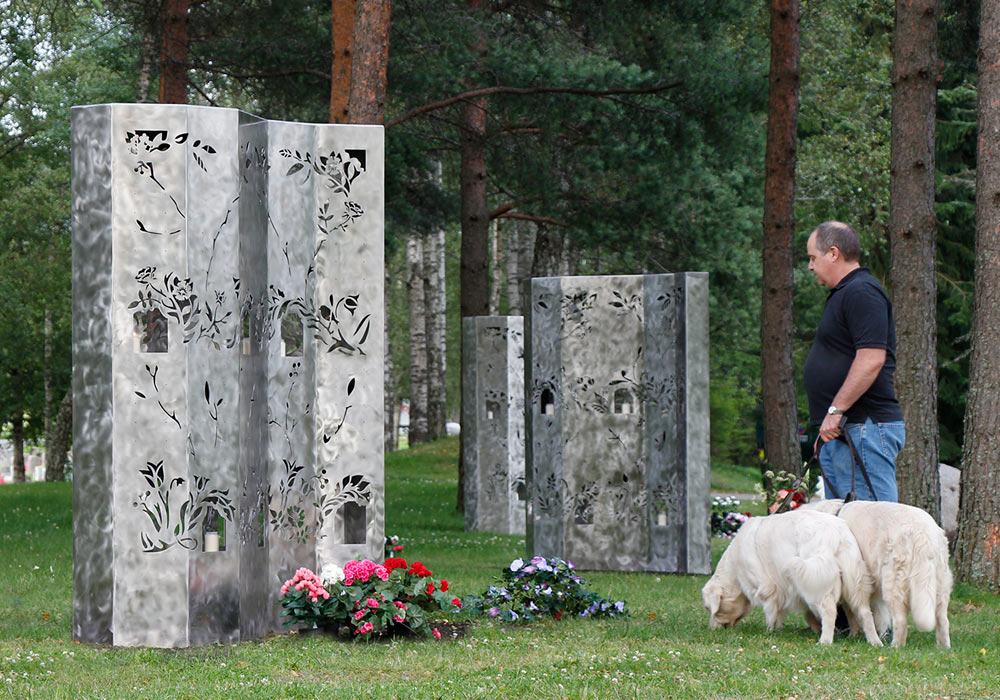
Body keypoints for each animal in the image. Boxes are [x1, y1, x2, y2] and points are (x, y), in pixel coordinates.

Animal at [700, 508, 880, 644]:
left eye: (709, 608)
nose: (711, 629)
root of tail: (836, 534)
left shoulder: (766, 587)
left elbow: (771, 611)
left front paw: (770, 630)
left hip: (816, 583)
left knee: (829, 611)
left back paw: (825, 642)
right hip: (854, 584)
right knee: (863, 612)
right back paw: (869, 640)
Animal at [804, 500, 952, 648]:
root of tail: (922, 535)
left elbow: (852, 612)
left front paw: (855, 634)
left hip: (893, 584)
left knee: (900, 620)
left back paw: (895, 646)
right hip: (940, 583)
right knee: (942, 619)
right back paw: (943, 647)